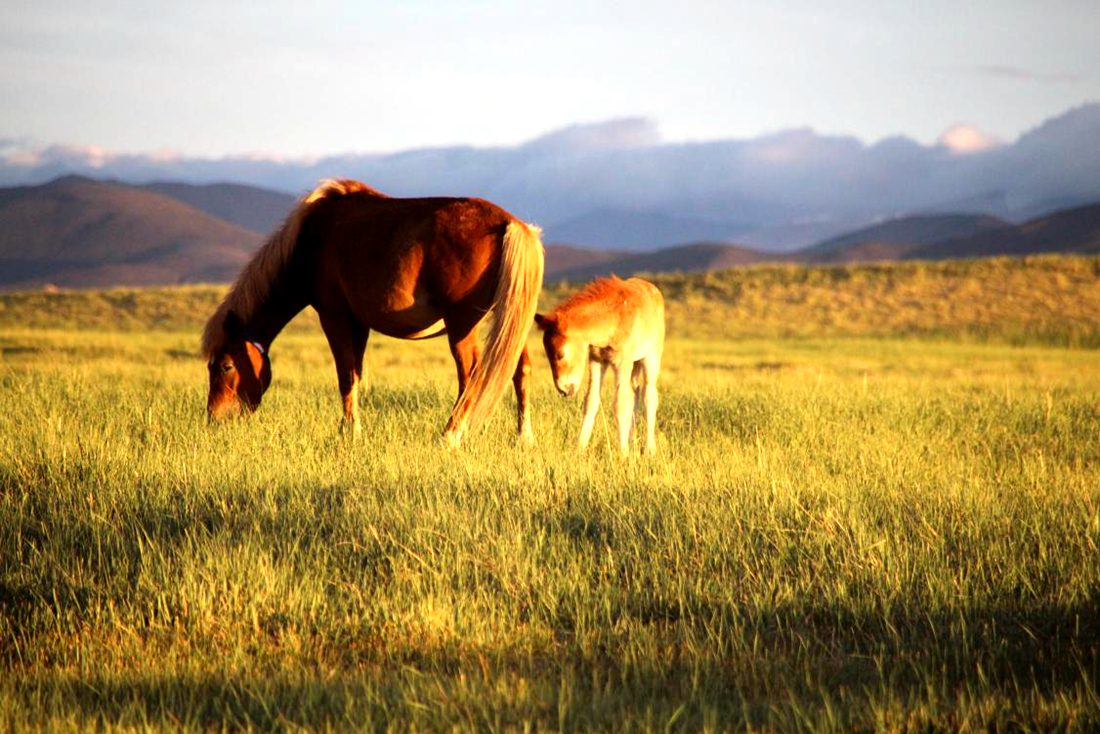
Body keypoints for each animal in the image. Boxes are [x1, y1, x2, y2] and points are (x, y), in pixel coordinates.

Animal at [202, 180, 545, 444]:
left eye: (226, 366)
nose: (214, 419)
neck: (307, 242)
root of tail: (509, 223)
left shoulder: (334, 316)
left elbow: (345, 375)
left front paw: (348, 432)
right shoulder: (360, 324)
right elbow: (355, 373)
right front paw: (352, 428)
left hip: (462, 324)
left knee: (471, 374)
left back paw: (449, 435)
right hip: (507, 325)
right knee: (520, 369)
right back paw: (523, 438)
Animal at [532, 275, 660, 453]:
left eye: (560, 354)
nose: (564, 390)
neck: (612, 320)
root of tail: (653, 289)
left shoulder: (622, 363)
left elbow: (620, 404)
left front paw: (623, 453)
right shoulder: (596, 360)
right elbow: (591, 401)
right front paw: (579, 448)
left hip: (650, 358)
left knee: (649, 396)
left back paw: (649, 449)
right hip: (634, 364)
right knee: (635, 393)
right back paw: (631, 441)